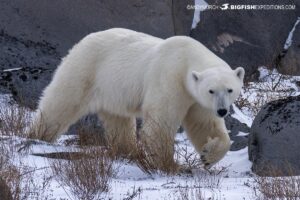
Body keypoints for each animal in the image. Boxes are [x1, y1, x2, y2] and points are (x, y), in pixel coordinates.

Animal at [30, 28, 244, 168]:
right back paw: (37, 135)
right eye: (211, 90)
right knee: (61, 103)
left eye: (230, 89)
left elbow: (204, 124)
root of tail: (82, 41)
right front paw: (169, 164)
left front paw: (208, 155)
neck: (186, 58)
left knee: (119, 123)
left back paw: (128, 151)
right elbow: (161, 121)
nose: (222, 110)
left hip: (112, 90)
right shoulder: (169, 77)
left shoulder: (197, 99)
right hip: (86, 68)